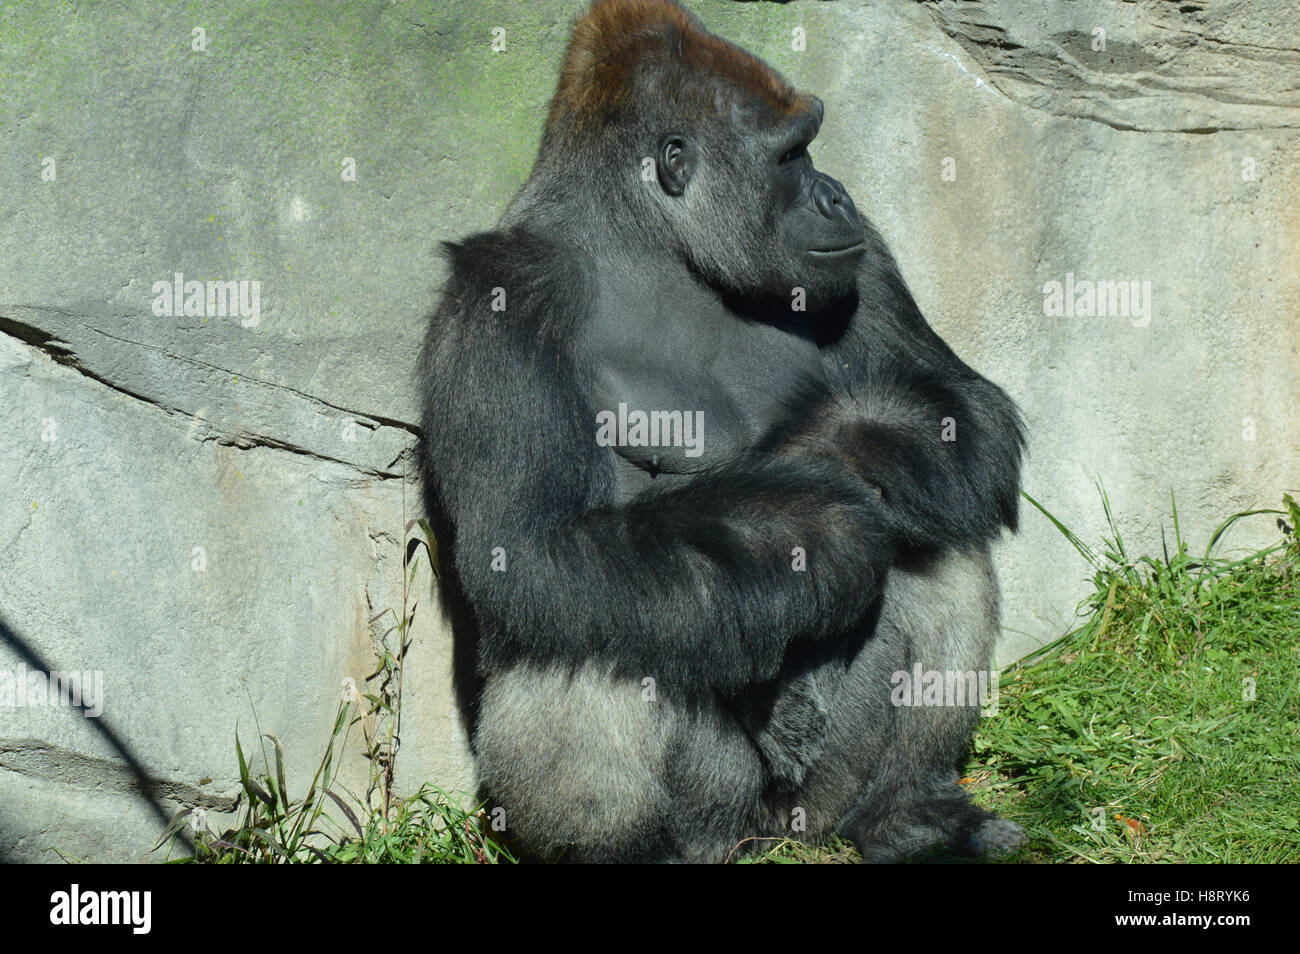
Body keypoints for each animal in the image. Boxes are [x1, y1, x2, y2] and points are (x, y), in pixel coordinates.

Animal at [416, 0, 1024, 868]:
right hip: (716, 817)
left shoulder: (861, 252)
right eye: (793, 153)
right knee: (590, 637)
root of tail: (765, 837)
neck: (650, 245)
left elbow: (962, 410)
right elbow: (531, 546)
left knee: (939, 533)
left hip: (813, 801)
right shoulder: (499, 297)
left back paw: (906, 809)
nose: (838, 194)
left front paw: (837, 452)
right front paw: (813, 522)